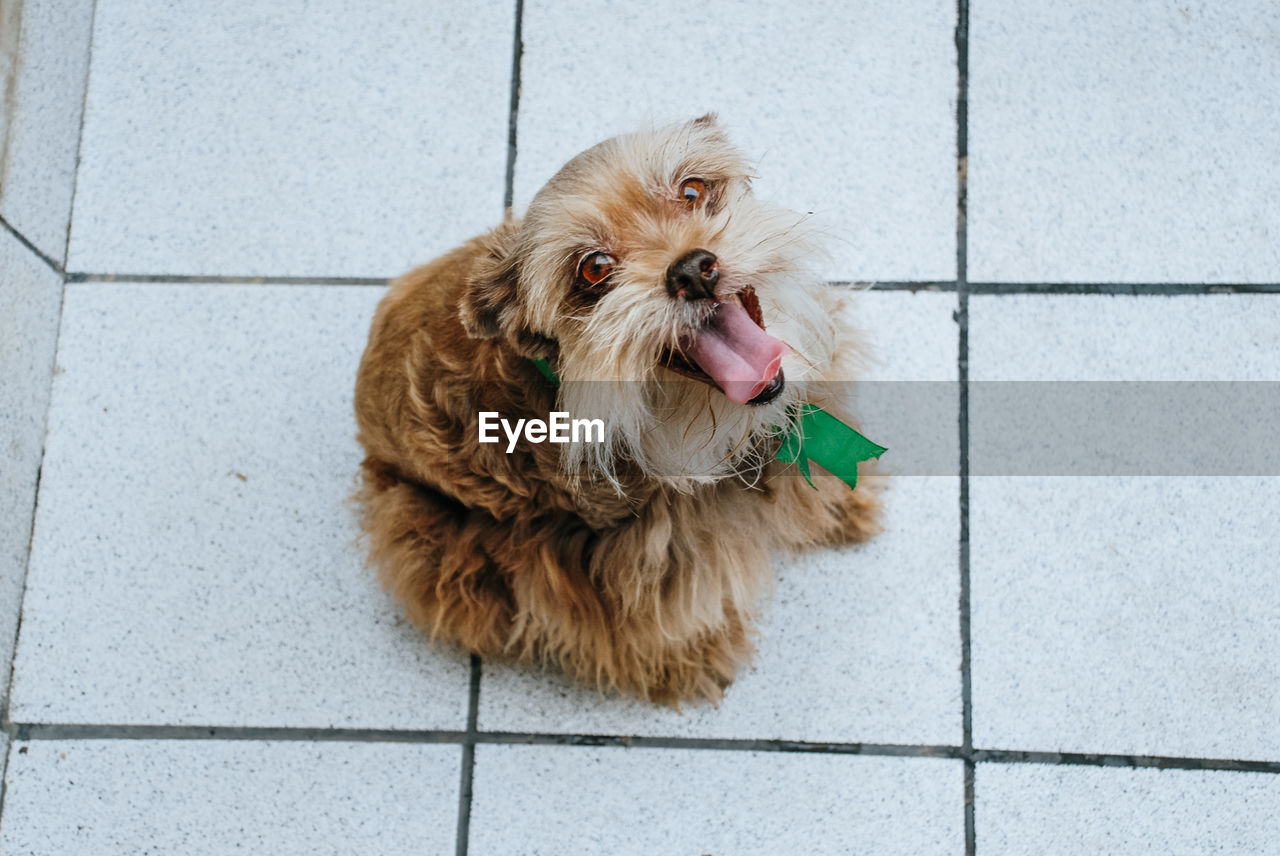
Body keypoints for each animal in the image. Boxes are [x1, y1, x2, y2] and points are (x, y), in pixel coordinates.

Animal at [355, 115, 885, 701]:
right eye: (595, 269)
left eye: (691, 191)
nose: (693, 270)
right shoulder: (636, 565)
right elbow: (656, 626)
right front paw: (695, 660)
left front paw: (843, 507)